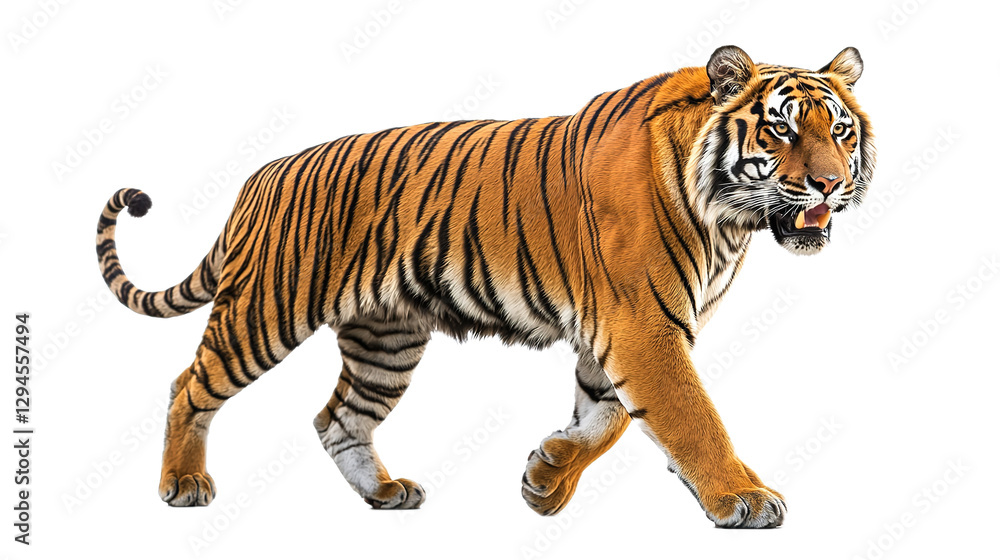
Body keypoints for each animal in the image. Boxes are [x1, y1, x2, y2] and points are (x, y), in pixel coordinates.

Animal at [95, 45, 874, 528]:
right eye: (781, 131)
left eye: (840, 131)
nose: (830, 184)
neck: (728, 220)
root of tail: (262, 176)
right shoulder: (642, 327)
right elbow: (691, 417)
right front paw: (744, 497)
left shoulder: (619, 331)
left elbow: (606, 418)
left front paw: (547, 478)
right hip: (266, 310)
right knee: (190, 384)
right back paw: (182, 486)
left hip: (386, 340)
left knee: (337, 417)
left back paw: (385, 493)